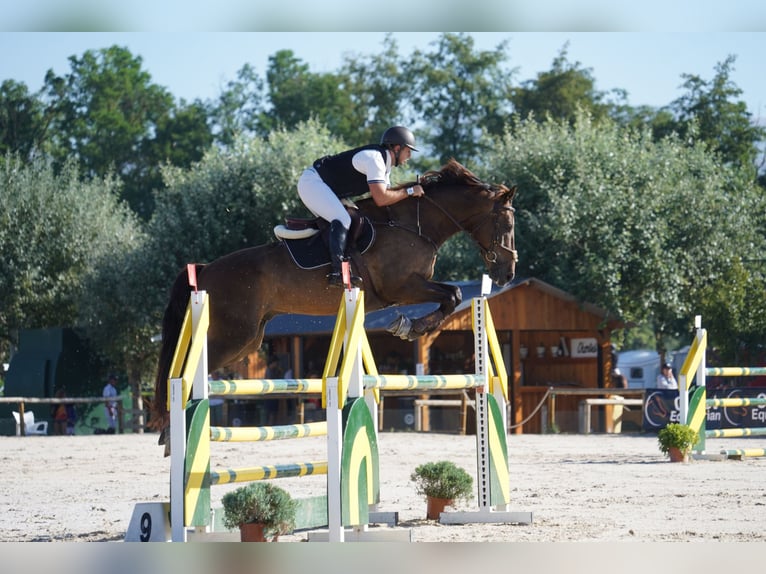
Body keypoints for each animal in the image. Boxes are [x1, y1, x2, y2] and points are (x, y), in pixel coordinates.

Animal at [150, 160, 520, 438]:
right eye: (506, 223)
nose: (507, 273)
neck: (414, 225)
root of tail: (205, 269)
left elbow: (452, 295)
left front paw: (410, 326)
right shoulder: (401, 287)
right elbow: (452, 295)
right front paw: (409, 326)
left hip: (248, 340)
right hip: (233, 335)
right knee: (185, 372)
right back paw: (170, 432)